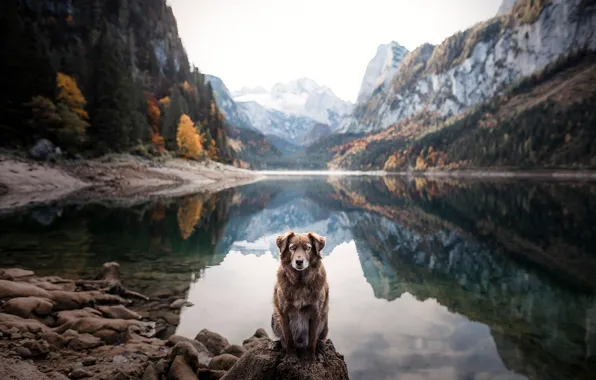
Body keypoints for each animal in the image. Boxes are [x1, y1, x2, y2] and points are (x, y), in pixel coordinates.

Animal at [272, 232, 330, 360]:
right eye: (292, 248)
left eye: (308, 248)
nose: (299, 261)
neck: (300, 283)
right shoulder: (284, 313)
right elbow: (288, 337)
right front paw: (290, 356)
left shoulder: (316, 313)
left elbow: (312, 340)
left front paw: (310, 359)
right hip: (274, 318)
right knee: (281, 338)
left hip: (325, 322)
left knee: (320, 339)